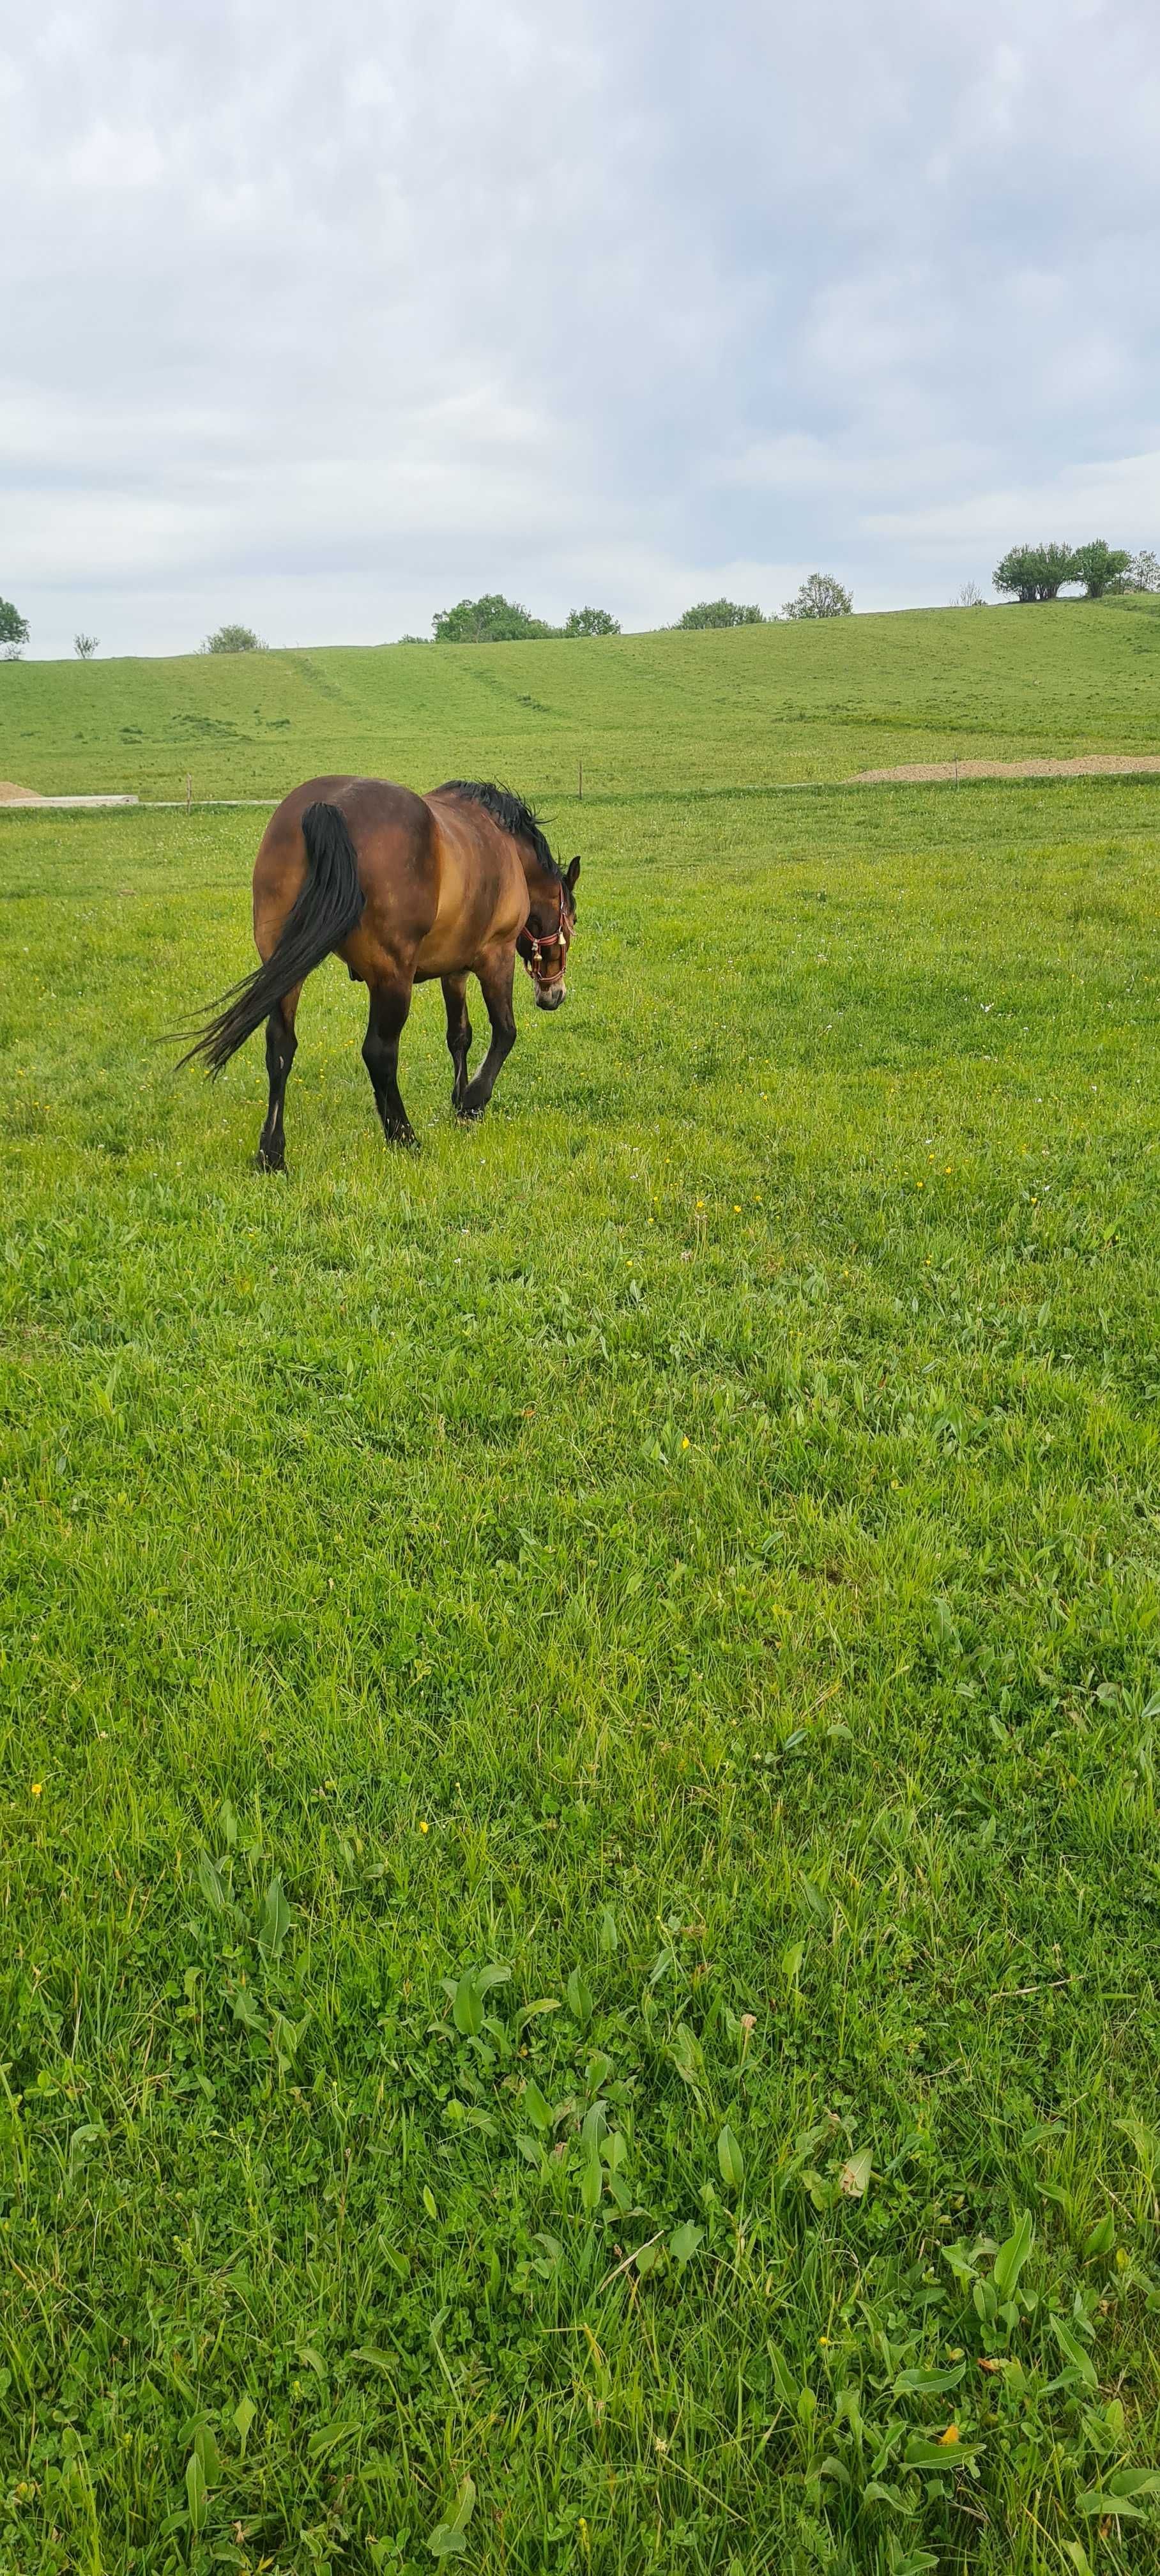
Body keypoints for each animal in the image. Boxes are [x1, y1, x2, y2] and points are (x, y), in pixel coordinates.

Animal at [181, 767, 579, 1164]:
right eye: (572, 919)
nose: (554, 994)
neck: (505, 846)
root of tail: (327, 807)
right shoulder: (495, 957)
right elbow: (505, 1032)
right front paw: (472, 1102)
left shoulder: (454, 970)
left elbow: (459, 1036)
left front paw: (459, 1100)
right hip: (392, 977)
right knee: (379, 1053)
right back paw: (404, 1136)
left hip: (285, 969)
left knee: (280, 1048)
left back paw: (272, 1152)